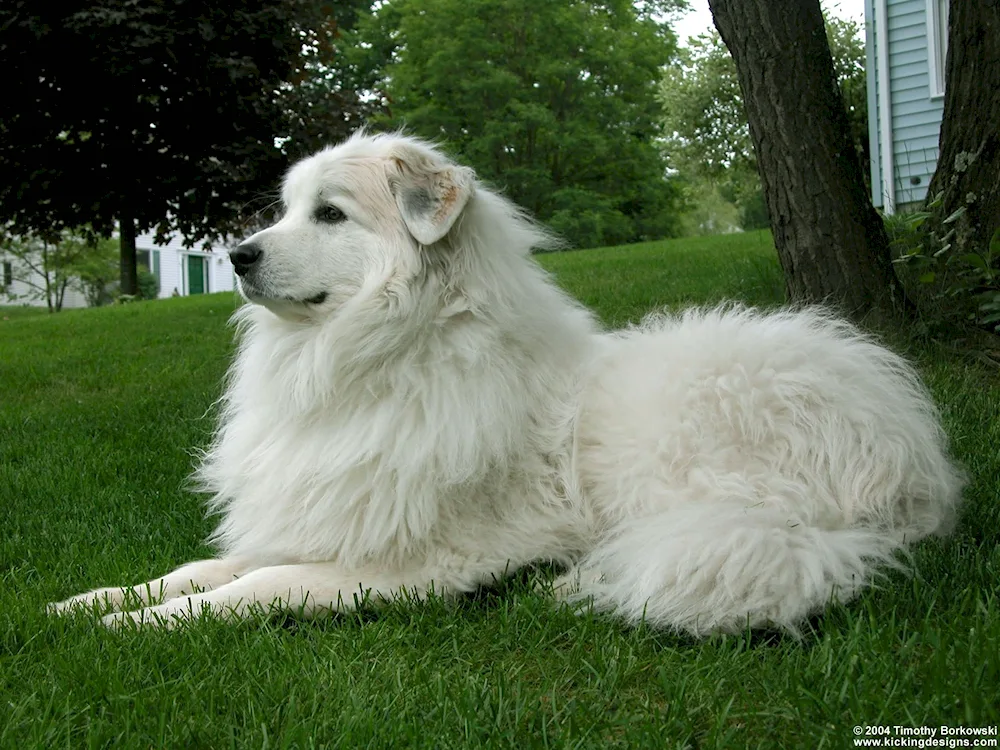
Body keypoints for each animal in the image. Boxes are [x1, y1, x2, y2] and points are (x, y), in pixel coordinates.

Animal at [48, 134, 968, 636]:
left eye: (330, 214)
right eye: (284, 209)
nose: (237, 255)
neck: (385, 353)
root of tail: (916, 465)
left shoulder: (403, 563)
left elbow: (255, 588)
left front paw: (133, 629)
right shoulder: (318, 512)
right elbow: (201, 567)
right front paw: (90, 602)